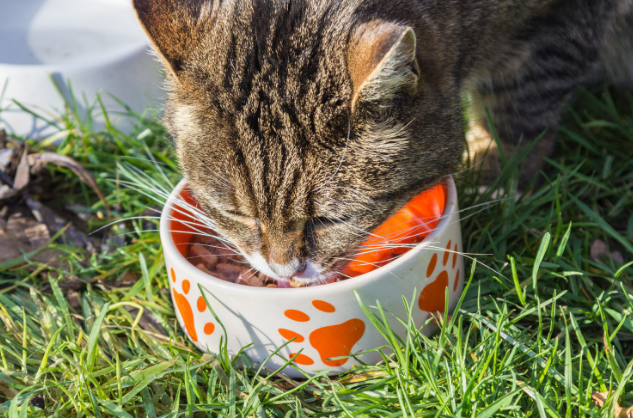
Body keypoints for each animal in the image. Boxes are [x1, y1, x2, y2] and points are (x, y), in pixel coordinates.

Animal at [131, 0, 628, 284]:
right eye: (236, 214)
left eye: (331, 219)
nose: (284, 270)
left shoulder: (558, 27)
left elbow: (520, 104)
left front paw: (498, 175)